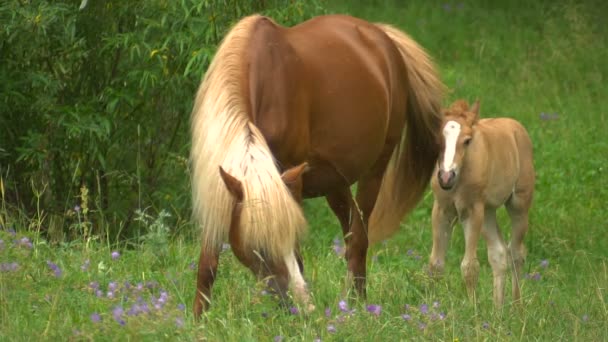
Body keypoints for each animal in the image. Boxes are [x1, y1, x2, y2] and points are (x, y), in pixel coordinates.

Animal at [188, 13, 444, 318]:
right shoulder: (219, 189)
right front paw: (199, 319)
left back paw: (357, 306)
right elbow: (207, 264)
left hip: (374, 171)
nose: (302, 306)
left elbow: (298, 256)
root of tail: (383, 37)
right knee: (351, 236)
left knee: (360, 239)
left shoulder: (288, 180)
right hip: (335, 182)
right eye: (259, 247)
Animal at [426, 99, 536, 308]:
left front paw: (472, 310)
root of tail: (516, 127)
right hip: (488, 212)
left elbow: (469, 267)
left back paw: (517, 309)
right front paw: (432, 307)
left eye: (467, 140)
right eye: (437, 139)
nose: (446, 177)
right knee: (499, 253)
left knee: (517, 253)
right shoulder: (442, 209)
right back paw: (497, 310)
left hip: (518, 205)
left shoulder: (472, 210)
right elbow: (435, 264)